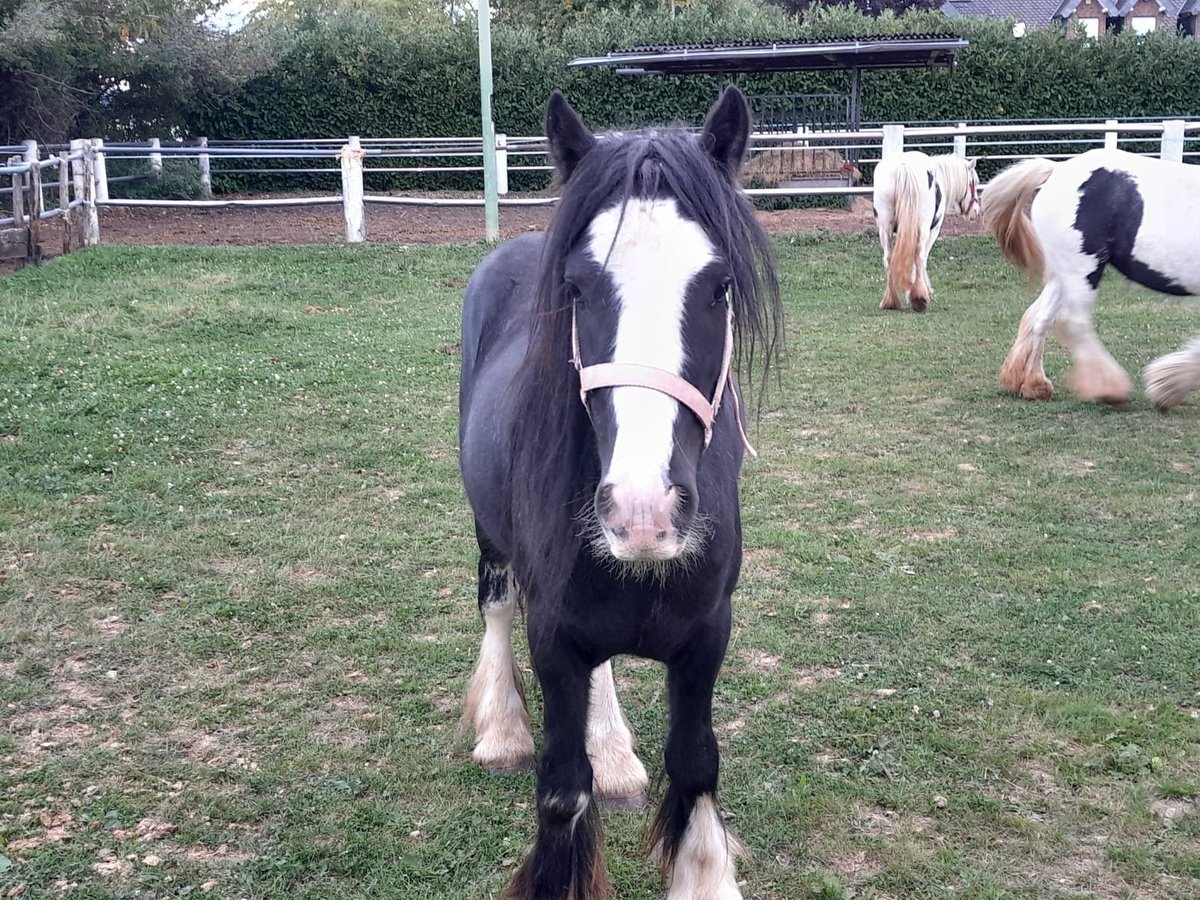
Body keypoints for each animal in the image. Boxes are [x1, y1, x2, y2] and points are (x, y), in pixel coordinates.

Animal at [453, 86, 782, 900]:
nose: (643, 512)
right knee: (496, 603)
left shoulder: (707, 635)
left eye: (720, 286)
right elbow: (561, 787)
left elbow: (695, 764)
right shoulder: (554, 639)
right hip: (489, 533)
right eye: (577, 288)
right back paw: (501, 730)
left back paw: (614, 755)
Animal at [873, 151, 984, 314]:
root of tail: (903, 168)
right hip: (923, 228)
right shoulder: (933, 231)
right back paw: (919, 299)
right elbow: (922, 259)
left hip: (884, 229)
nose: (976, 210)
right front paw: (922, 292)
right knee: (919, 257)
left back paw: (891, 301)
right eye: (974, 182)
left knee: (888, 258)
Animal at [984, 148, 1200, 412]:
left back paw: (1033, 385)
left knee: (1039, 317)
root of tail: (1056, 169)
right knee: (1073, 322)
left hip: (1065, 275)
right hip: (1083, 269)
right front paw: (1166, 387)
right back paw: (1110, 389)